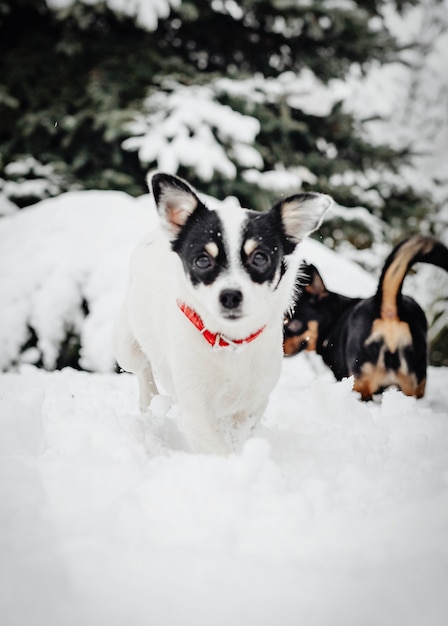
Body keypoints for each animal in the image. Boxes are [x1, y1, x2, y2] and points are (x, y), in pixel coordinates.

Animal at [113, 173, 328, 450]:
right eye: (203, 260)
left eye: (260, 258)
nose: (230, 296)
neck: (229, 341)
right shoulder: (196, 412)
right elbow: (219, 449)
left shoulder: (252, 405)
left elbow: (238, 437)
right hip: (126, 346)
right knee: (142, 369)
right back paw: (149, 401)